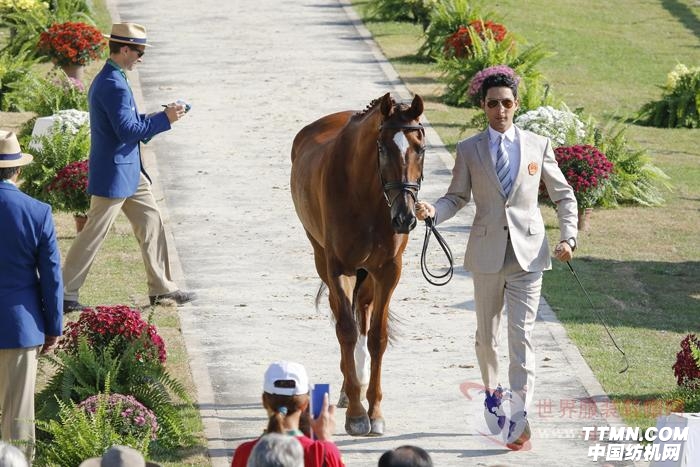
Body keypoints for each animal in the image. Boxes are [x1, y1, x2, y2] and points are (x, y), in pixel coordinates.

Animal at [290, 93, 426, 436]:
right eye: (383, 148)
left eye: (420, 147)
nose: (405, 217)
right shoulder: (340, 267)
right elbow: (346, 332)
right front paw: (356, 413)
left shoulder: (388, 271)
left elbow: (377, 336)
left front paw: (374, 410)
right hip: (321, 257)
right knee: (343, 316)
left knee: (362, 309)